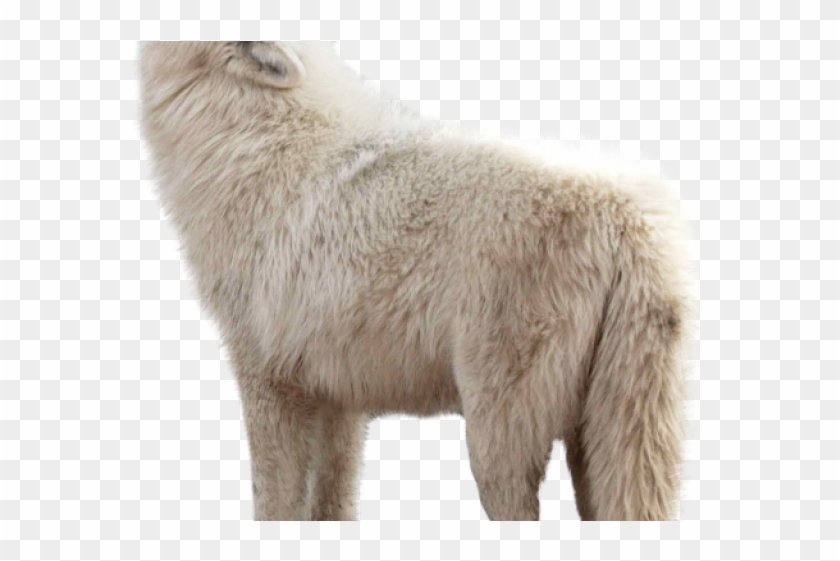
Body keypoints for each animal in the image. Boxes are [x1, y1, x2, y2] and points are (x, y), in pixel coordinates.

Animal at [139, 41, 693, 520]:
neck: (255, 139)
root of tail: (630, 221)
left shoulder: (266, 378)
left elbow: (272, 505)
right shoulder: (336, 398)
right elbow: (331, 505)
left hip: (497, 444)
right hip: (602, 444)